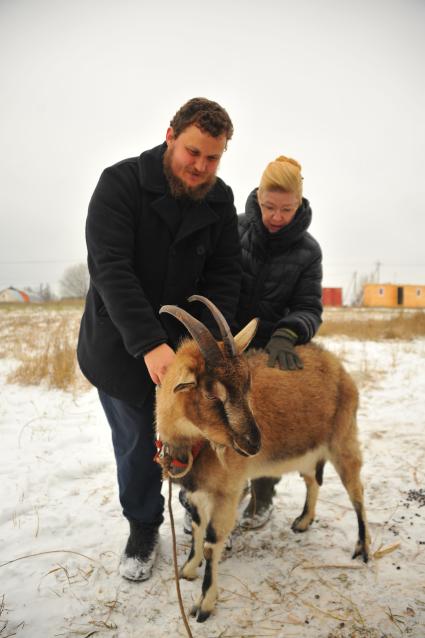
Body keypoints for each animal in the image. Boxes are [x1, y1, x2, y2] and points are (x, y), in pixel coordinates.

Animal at [154, 296, 370, 624]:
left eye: (248, 385)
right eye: (211, 393)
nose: (253, 443)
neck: (196, 445)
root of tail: (338, 367)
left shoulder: (227, 491)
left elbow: (212, 541)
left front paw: (204, 605)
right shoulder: (200, 490)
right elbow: (197, 527)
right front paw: (188, 570)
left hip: (343, 439)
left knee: (356, 490)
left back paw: (362, 549)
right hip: (307, 451)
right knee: (313, 480)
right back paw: (303, 522)